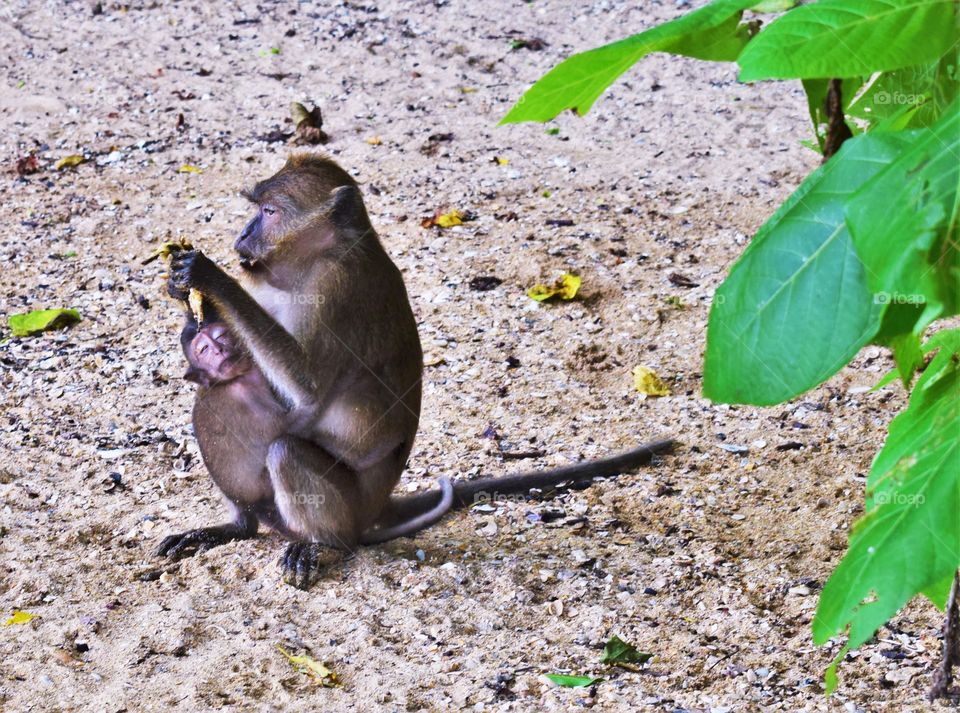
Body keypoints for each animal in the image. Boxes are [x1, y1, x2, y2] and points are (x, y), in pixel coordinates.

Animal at [157, 153, 674, 589]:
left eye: (268, 211)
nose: (242, 237)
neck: (322, 256)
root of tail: (378, 503)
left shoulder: (334, 290)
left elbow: (305, 390)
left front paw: (210, 277)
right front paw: (186, 296)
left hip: (350, 504)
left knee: (285, 449)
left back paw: (323, 544)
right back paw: (237, 526)